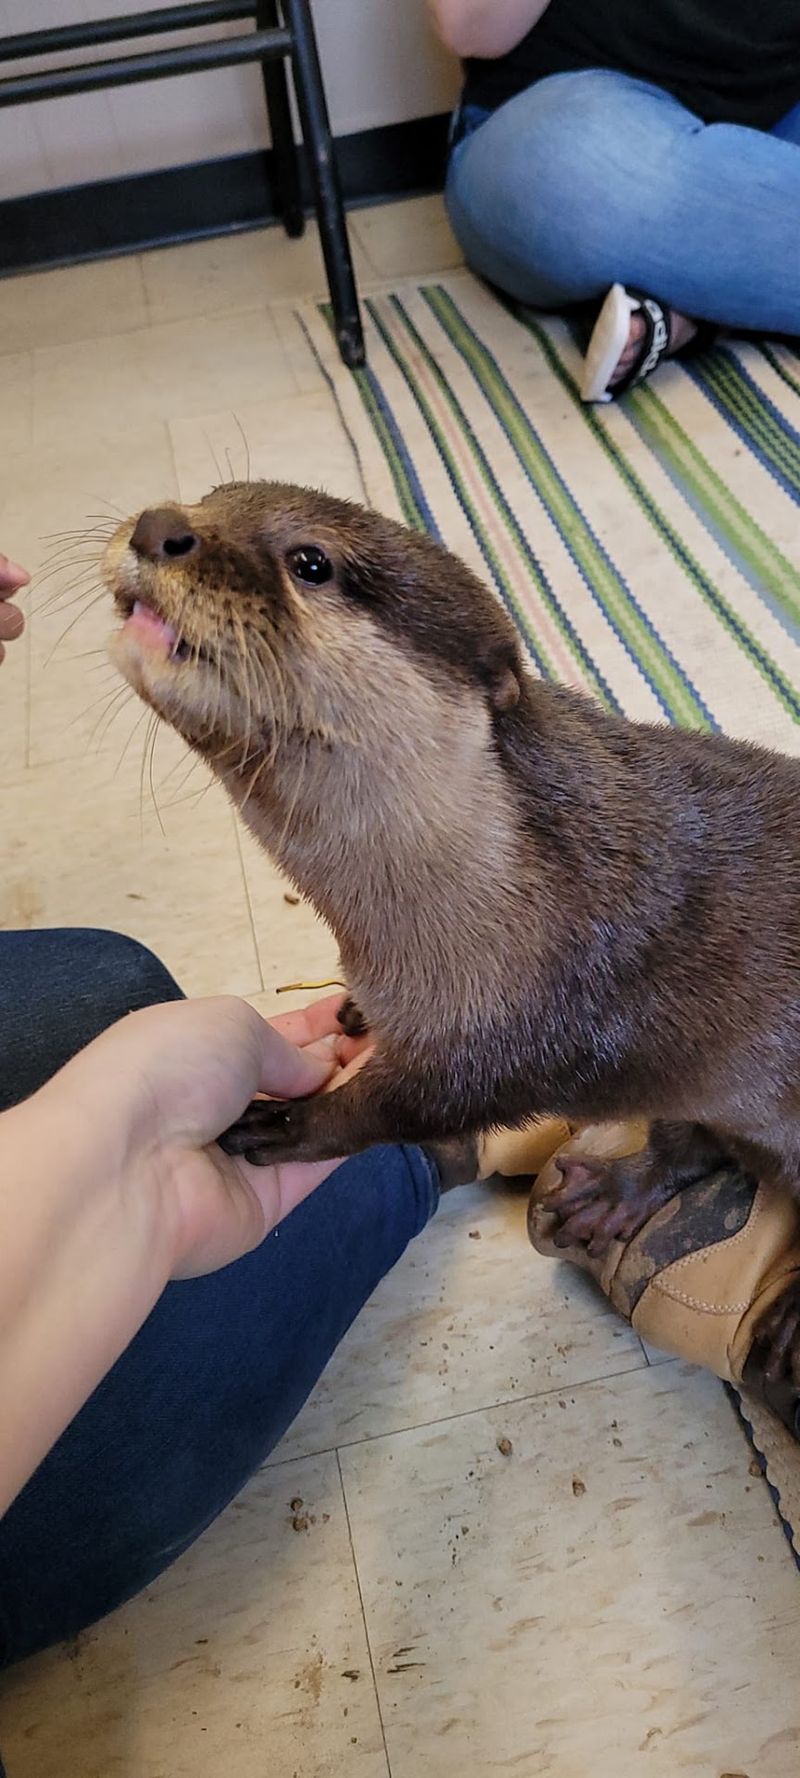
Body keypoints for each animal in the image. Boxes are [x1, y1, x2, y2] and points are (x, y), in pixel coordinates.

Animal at [103, 481, 800, 1372]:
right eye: (214, 498)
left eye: (311, 563)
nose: (161, 527)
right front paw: (356, 1012)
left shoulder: (537, 1024)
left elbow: (417, 1103)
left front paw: (293, 1123)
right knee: (696, 1141)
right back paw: (611, 1196)